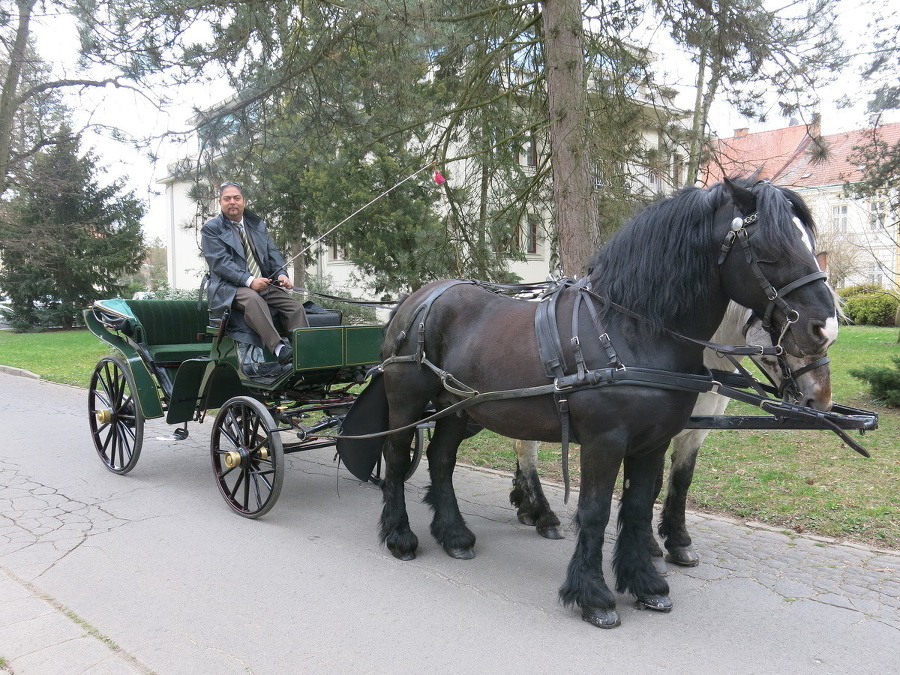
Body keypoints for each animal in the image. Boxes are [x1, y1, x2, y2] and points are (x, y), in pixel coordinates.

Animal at [374, 180, 836, 628]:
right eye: (771, 248)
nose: (825, 330)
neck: (630, 330)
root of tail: (417, 298)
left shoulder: (655, 441)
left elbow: (639, 505)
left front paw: (647, 582)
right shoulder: (604, 441)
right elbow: (595, 511)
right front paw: (593, 596)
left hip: (456, 407)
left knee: (441, 460)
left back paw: (455, 536)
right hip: (407, 403)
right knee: (397, 459)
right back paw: (401, 536)